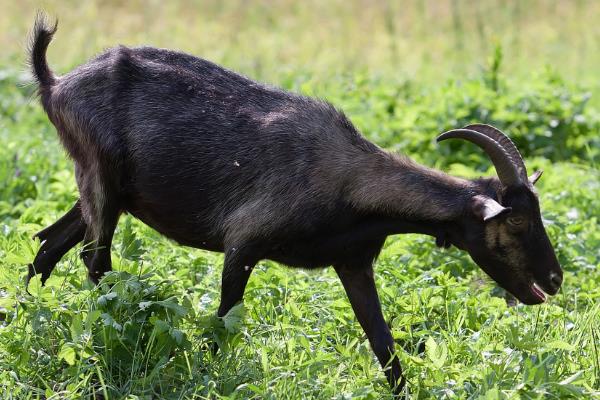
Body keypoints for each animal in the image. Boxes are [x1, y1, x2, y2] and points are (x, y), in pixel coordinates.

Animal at [28, 14, 564, 394]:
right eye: (516, 223)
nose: (556, 279)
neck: (349, 177)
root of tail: (55, 83)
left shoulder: (353, 263)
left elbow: (384, 345)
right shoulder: (242, 245)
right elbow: (223, 323)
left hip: (104, 193)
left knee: (48, 245)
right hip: (99, 181)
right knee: (95, 262)